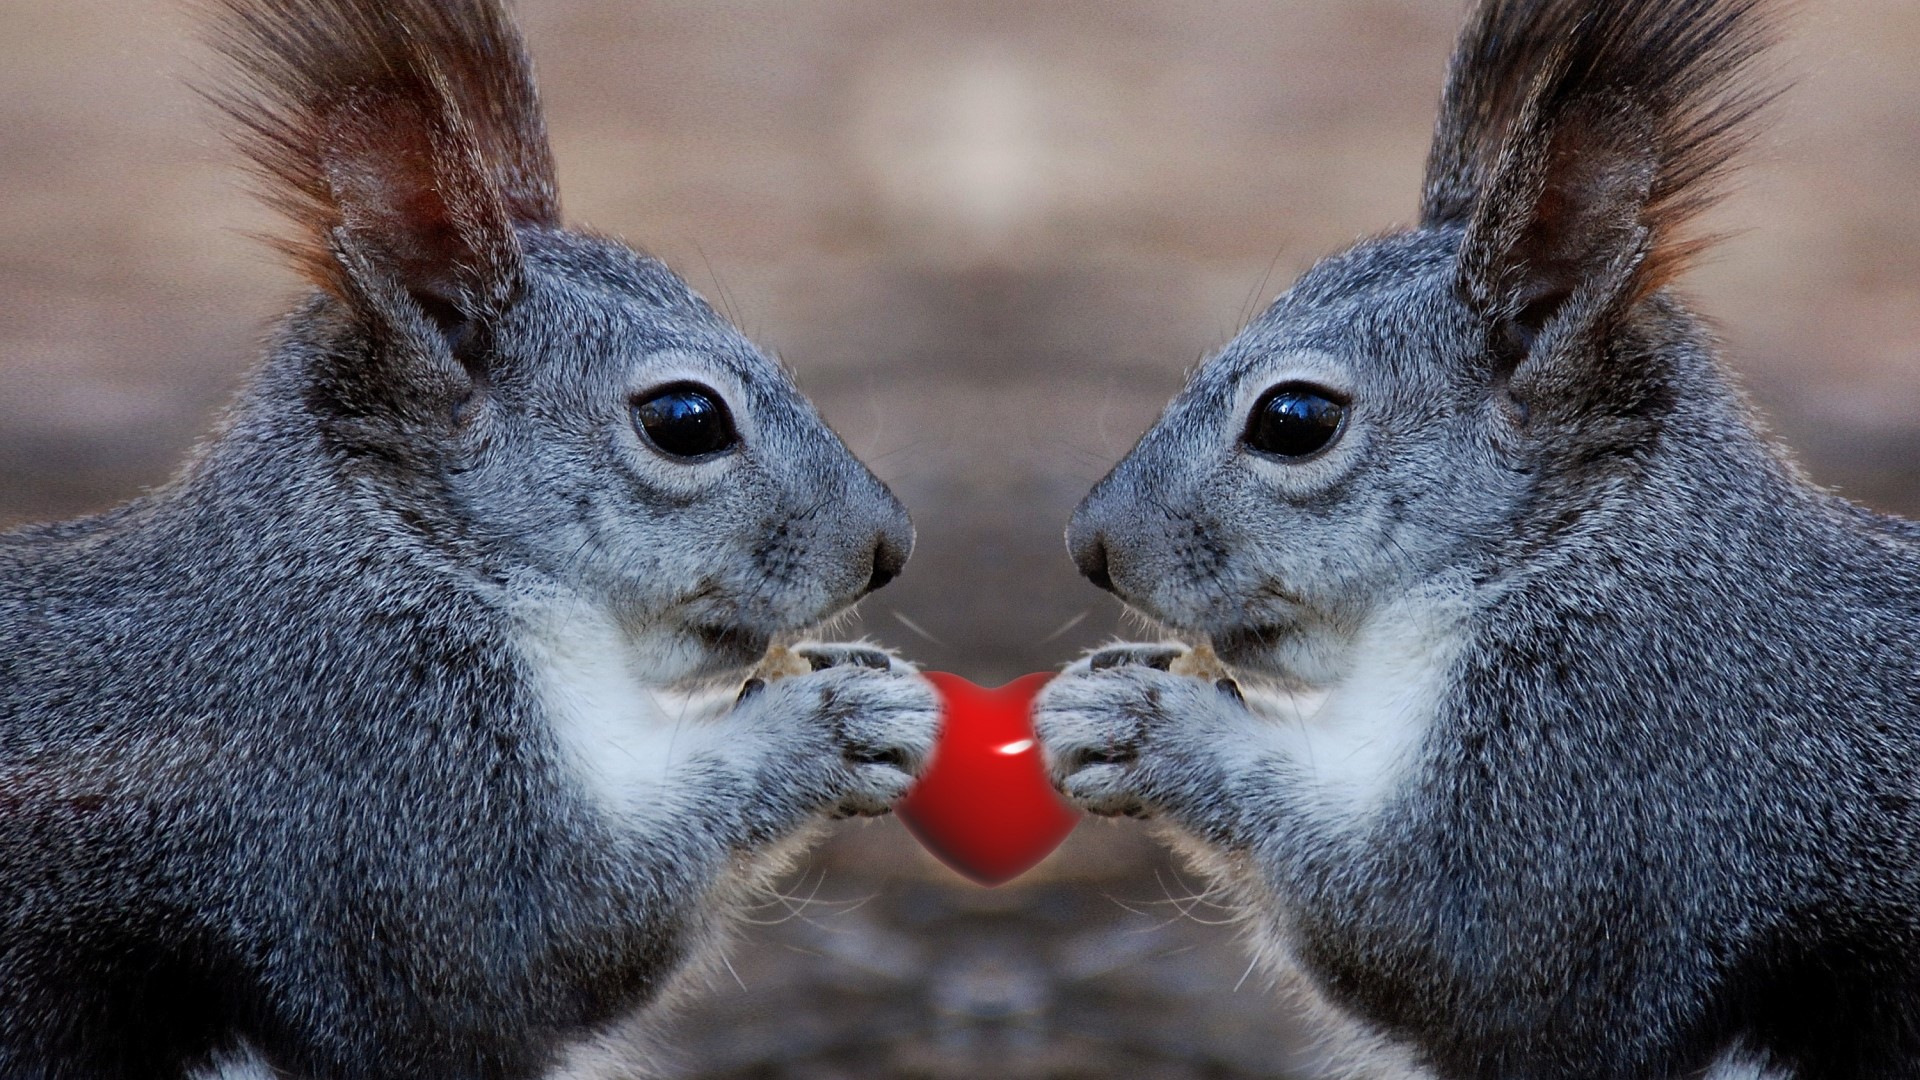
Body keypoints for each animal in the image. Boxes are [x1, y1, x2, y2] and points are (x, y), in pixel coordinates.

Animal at [0, 0, 939, 1077]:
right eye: (686, 420)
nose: (889, 546)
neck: (408, 547)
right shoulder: (379, 763)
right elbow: (533, 941)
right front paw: (833, 723)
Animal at [1037, 0, 1920, 1077]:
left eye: (1294, 420)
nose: (1090, 545)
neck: (1570, 546)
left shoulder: (1618, 760)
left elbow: (1453, 942)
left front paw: (1147, 725)